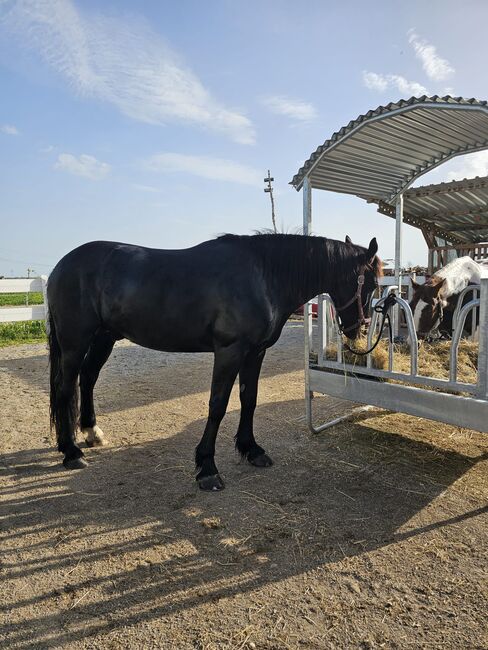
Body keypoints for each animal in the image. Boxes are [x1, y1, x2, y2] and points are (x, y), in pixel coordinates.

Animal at [46, 230, 382, 488]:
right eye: (371, 283)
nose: (359, 330)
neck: (263, 276)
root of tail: (61, 266)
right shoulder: (230, 351)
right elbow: (218, 405)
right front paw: (207, 468)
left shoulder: (255, 352)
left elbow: (249, 399)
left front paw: (251, 450)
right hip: (75, 342)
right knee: (65, 387)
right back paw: (71, 452)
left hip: (104, 336)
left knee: (88, 378)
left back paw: (91, 433)